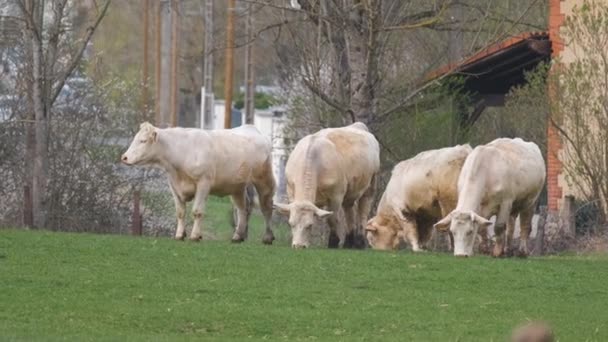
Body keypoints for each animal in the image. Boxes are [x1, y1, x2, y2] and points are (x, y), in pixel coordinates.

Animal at [120, 122, 276, 243]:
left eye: (143, 141)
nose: (124, 157)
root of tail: (252, 129)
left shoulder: (203, 184)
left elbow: (197, 211)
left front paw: (195, 236)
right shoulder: (173, 185)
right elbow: (180, 212)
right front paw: (179, 235)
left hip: (264, 179)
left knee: (266, 207)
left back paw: (268, 237)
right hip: (237, 186)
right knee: (243, 209)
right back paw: (238, 236)